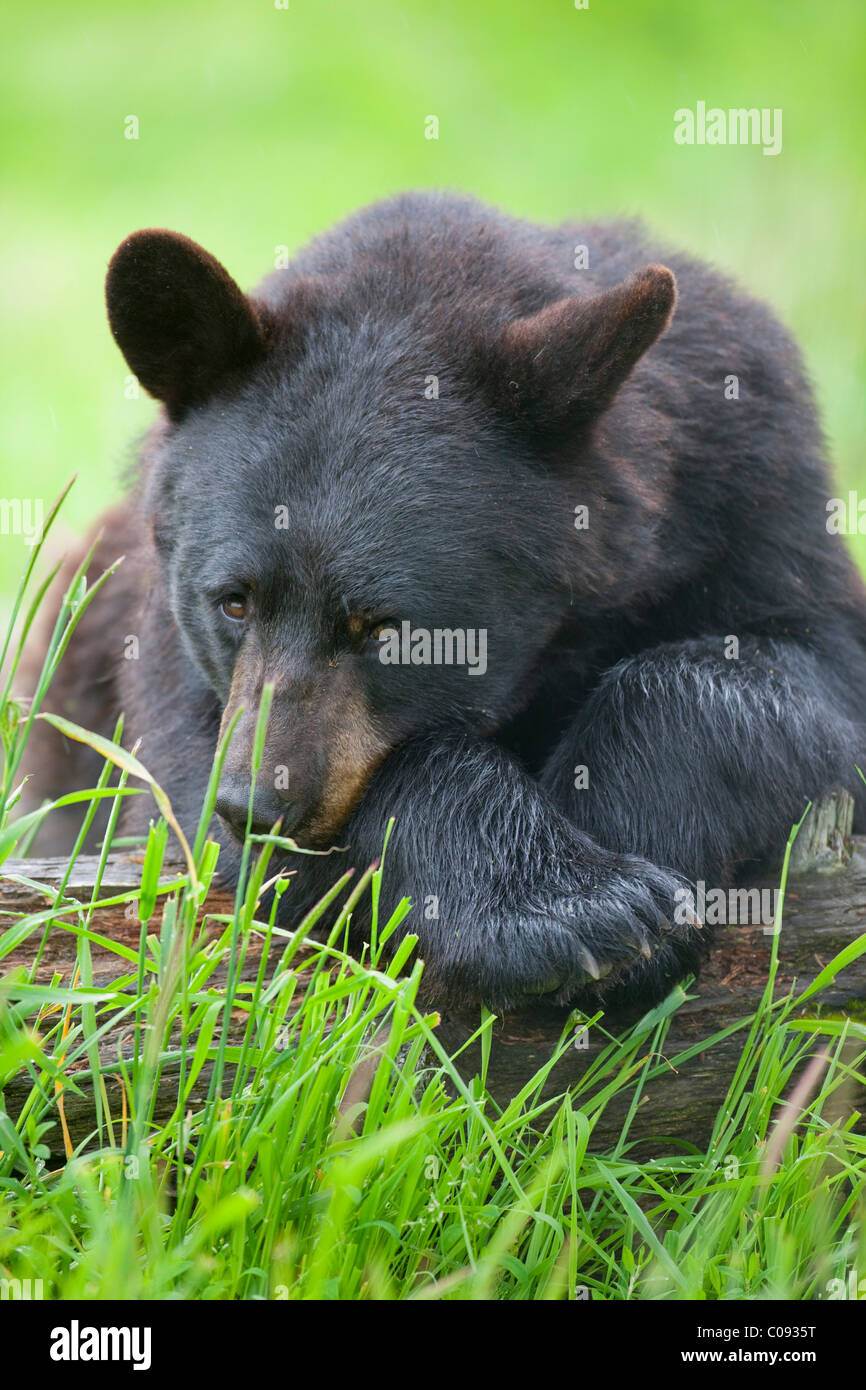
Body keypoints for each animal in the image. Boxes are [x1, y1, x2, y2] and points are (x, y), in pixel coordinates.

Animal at [18, 193, 866, 1011]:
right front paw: (577, 913)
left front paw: (622, 828)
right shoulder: (172, 663)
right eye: (232, 602)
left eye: (388, 629)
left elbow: (797, 668)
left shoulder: (753, 474)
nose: (255, 809)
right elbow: (195, 778)